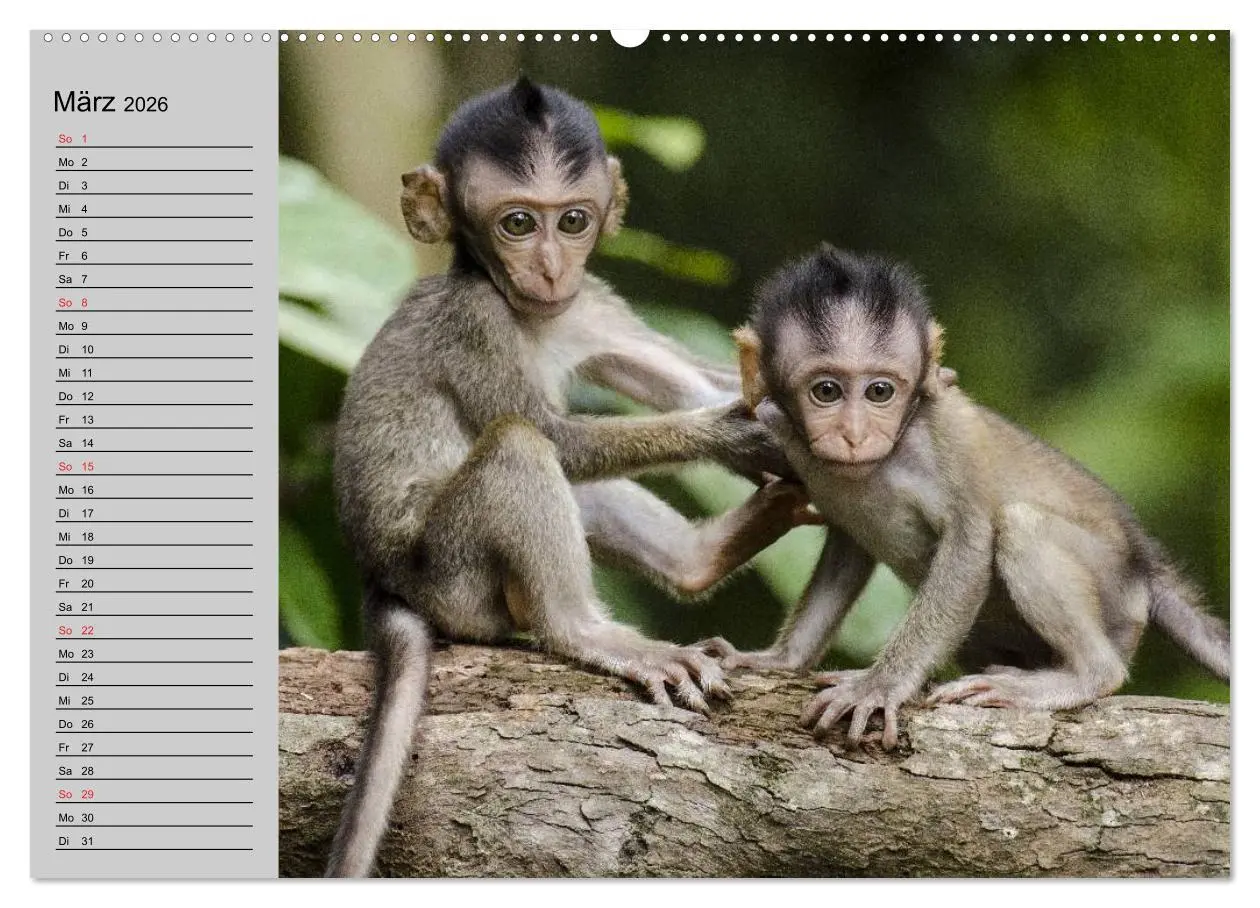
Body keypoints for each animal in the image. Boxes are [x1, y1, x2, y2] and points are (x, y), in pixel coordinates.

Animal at [325, 77, 810, 877]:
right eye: (518, 223)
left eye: (573, 220)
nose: (551, 267)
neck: (529, 313)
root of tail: (383, 580)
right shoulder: (475, 321)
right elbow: (557, 437)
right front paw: (736, 432)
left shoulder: (590, 304)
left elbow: (690, 382)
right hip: (453, 576)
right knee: (522, 447)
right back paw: (585, 630)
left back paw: (701, 557)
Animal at [698, 244, 1230, 750]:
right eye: (826, 391)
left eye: (879, 392)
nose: (855, 435)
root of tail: (1143, 563)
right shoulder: (785, 434)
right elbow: (848, 548)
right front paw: (779, 660)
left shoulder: (947, 436)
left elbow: (968, 545)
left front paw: (879, 685)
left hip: (1114, 590)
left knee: (1021, 526)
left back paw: (1082, 675)